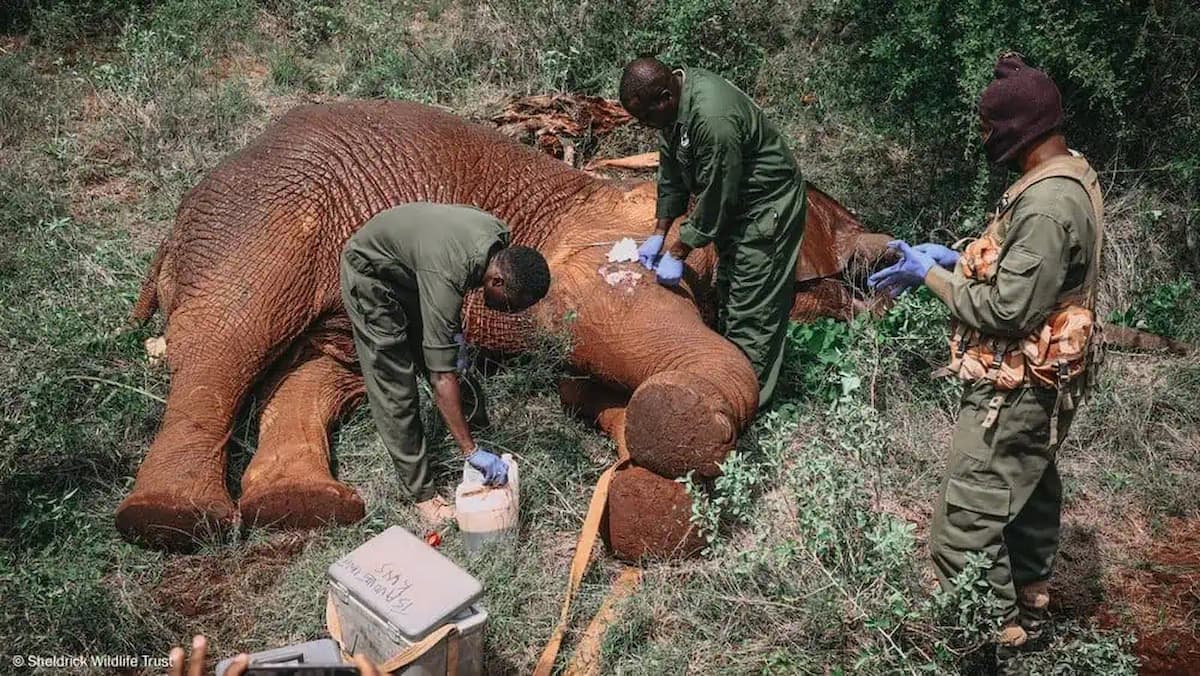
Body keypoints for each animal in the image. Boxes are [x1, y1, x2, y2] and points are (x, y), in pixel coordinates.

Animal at [117, 99, 897, 554]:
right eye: (838, 227)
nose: (894, 259)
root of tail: (180, 216)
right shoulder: (605, 261)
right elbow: (640, 336)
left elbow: (590, 392)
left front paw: (649, 509)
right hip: (262, 218)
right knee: (227, 339)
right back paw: (172, 523)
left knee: (320, 368)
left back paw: (299, 511)